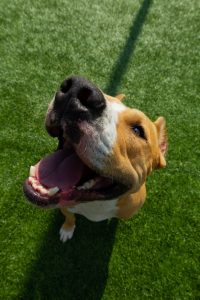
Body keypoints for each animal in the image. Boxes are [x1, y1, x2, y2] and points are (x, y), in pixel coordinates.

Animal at [23, 75, 167, 241]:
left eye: (138, 130)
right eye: (107, 95)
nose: (77, 87)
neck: (96, 203)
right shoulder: (65, 207)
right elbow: (69, 217)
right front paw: (67, 229)